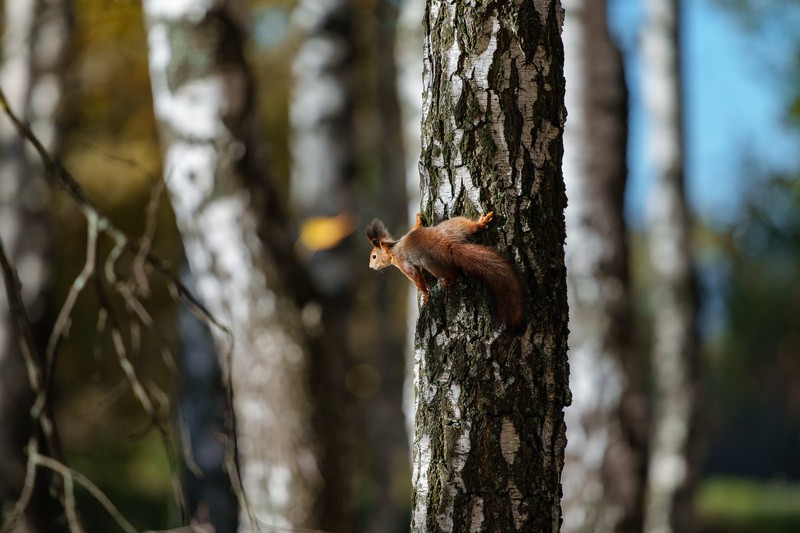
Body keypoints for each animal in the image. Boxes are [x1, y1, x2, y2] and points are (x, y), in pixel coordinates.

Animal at [364, 210, 524, 326]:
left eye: (374, 257)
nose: (370, 267)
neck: (392, 249)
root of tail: (449, 244)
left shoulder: (404, 264)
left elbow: (417, 277)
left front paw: (425, 295)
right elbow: (416, 227)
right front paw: (418, 218)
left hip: (434, 266)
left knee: (452, 273)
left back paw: (449, 282)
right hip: (455, 224)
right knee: (472, 227)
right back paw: (482, 221)